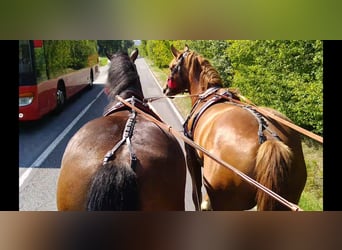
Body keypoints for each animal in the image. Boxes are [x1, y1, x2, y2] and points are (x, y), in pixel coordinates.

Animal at [163, 45, 308, 211]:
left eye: (172, 66)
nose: (165, 90)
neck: (207, 95)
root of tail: (269, 140)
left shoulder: (191, 154)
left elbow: (195, 193)